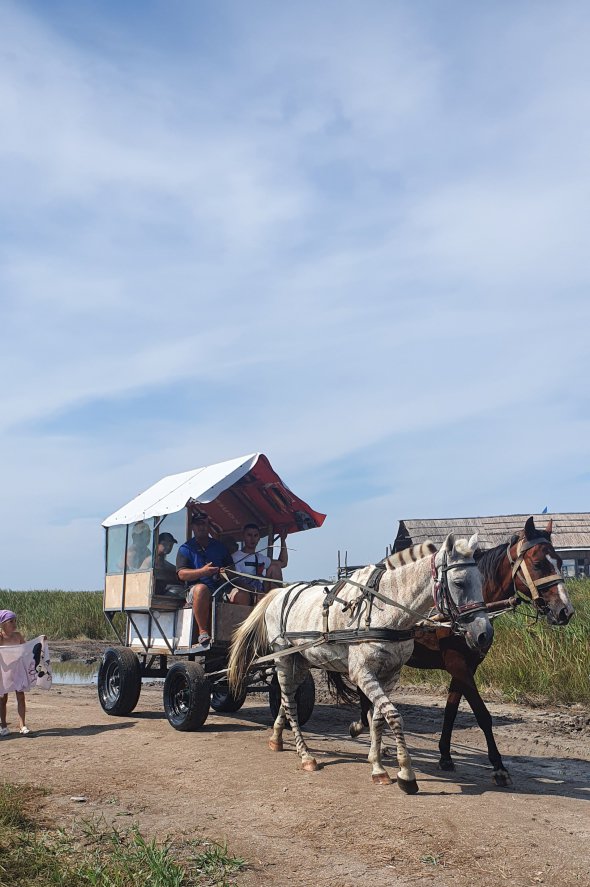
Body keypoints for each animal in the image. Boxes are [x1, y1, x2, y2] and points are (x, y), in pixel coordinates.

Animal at [350, 516, 576, 788]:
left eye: (561, 562)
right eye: (538, 563)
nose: (565, 611)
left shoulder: (466, 667)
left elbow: (451, 711)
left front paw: (445, 756)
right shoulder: (457, 664)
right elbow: (482, 714)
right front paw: (499, 767)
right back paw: (366, 731)